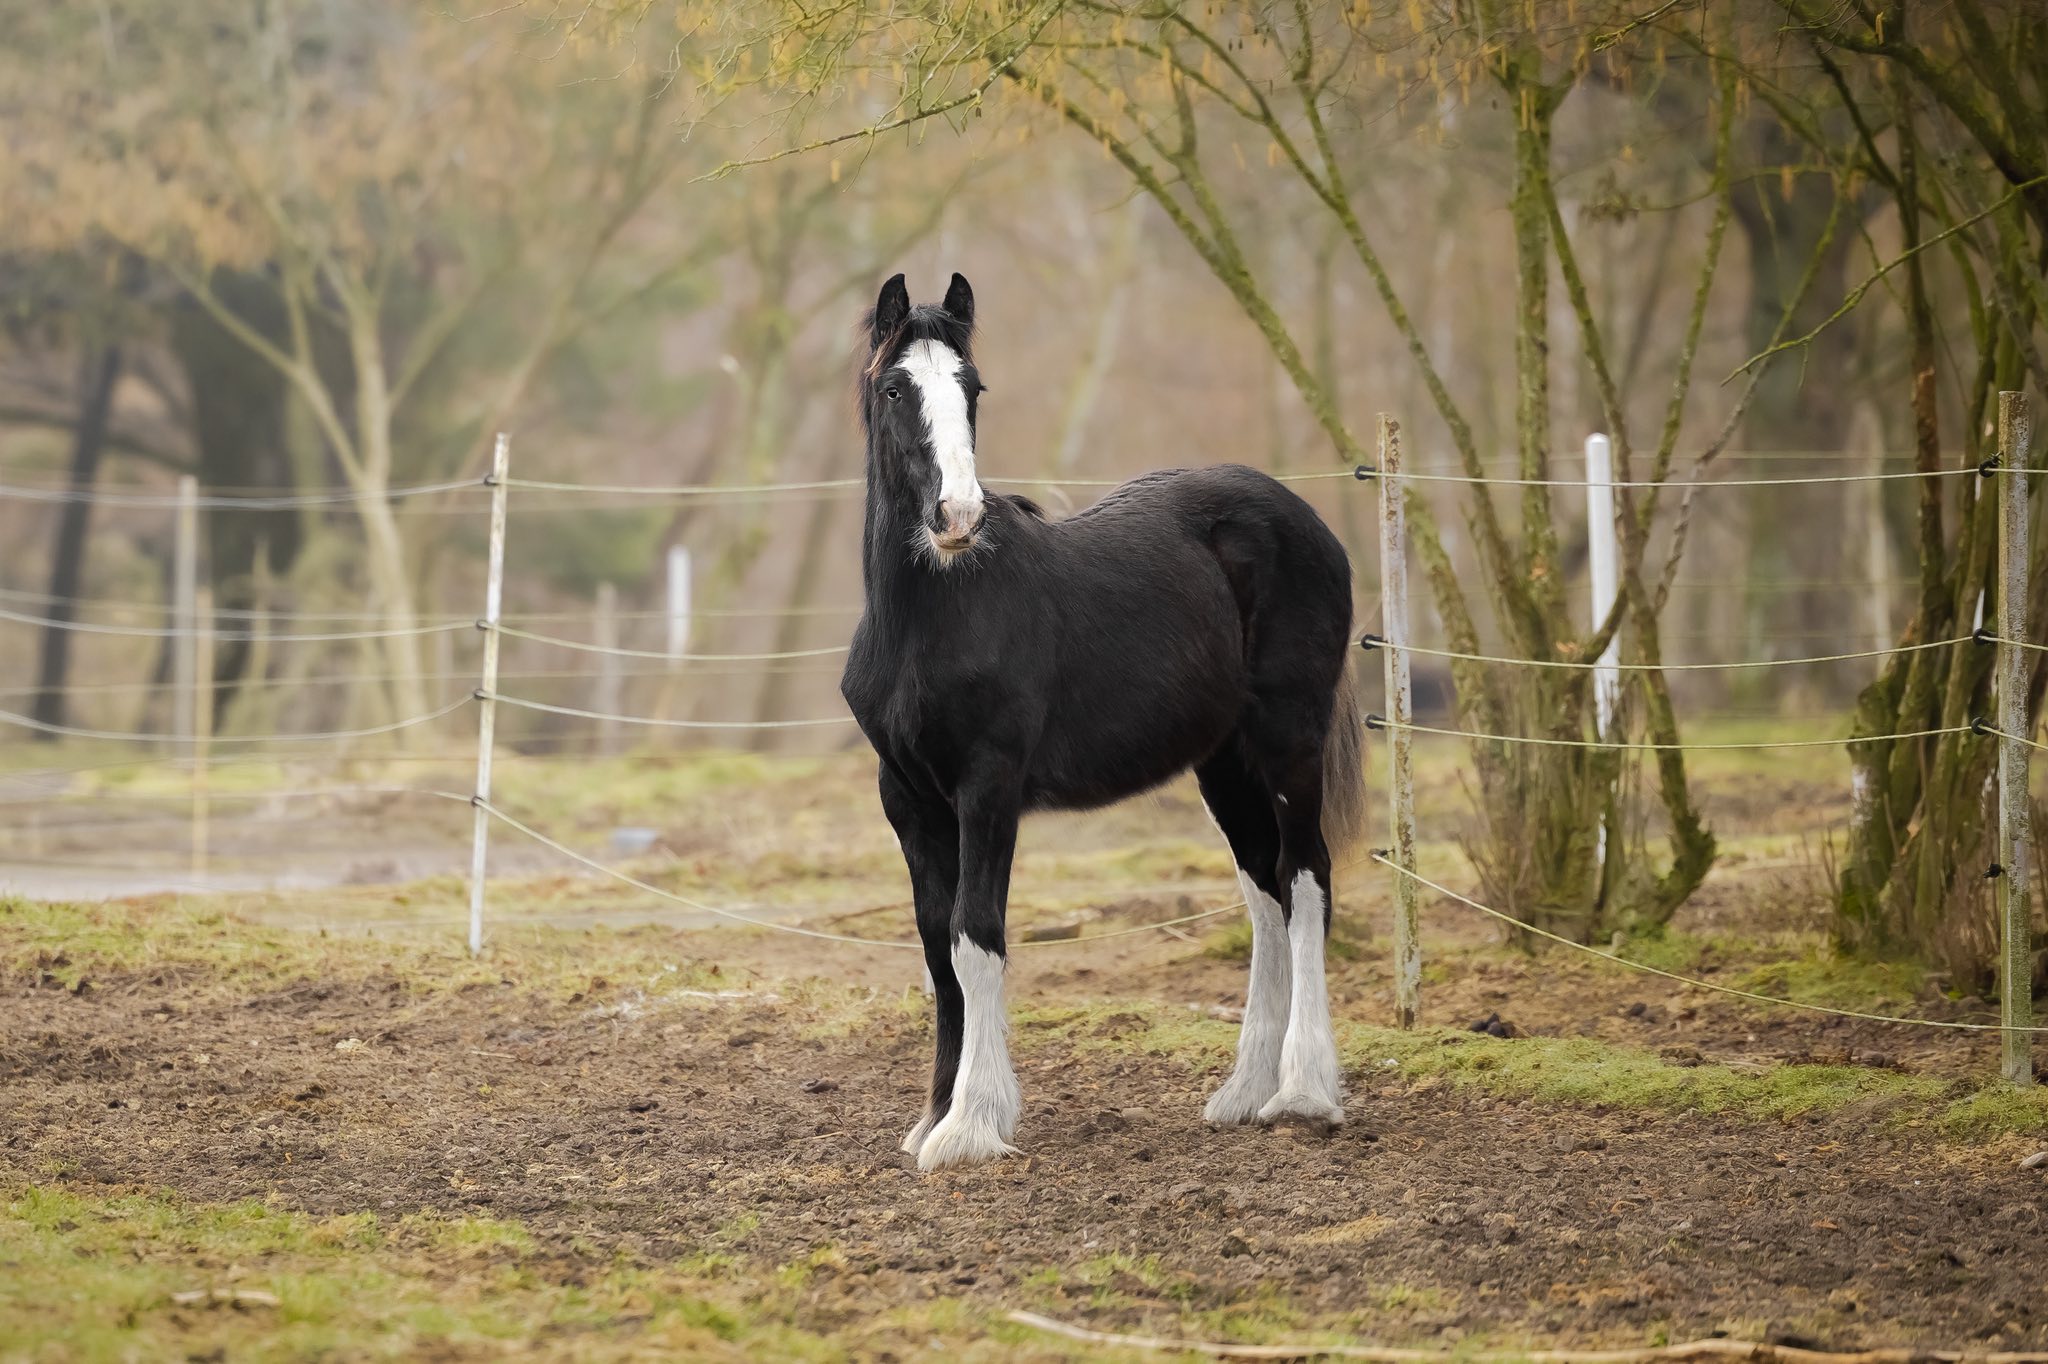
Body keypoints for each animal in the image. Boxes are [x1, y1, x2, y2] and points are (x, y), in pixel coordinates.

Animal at [839, 272, 1366, 1171]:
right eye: (894, 388)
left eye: (972, 388)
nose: (957, 517)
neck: (935, 614)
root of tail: (1305, 520)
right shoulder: (906, 798)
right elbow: (936, 949)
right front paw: (933, 1117)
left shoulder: (988, 788)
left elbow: (975, 937)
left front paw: (972, 1126)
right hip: (1223, 762)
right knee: (1264, 890)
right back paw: (1243, 1091)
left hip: (1287, 740)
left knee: (1305, 878)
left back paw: (1301, 1092)